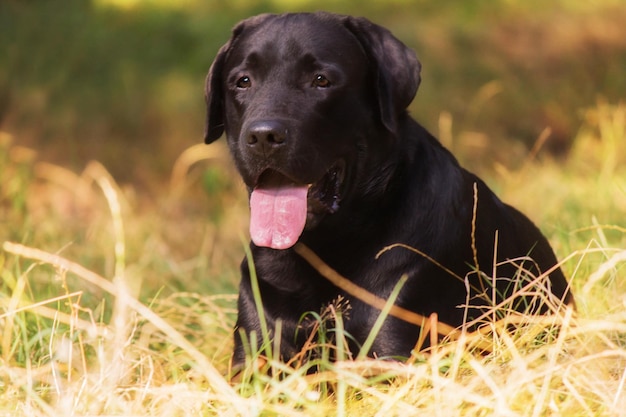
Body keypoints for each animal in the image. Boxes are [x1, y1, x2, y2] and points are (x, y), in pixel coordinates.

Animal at [202, 11, 572, 366]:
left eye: (321, 80)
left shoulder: (393, 351)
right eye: (243, 81)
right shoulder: (254, 354)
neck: (324, 245)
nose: (264, 136)